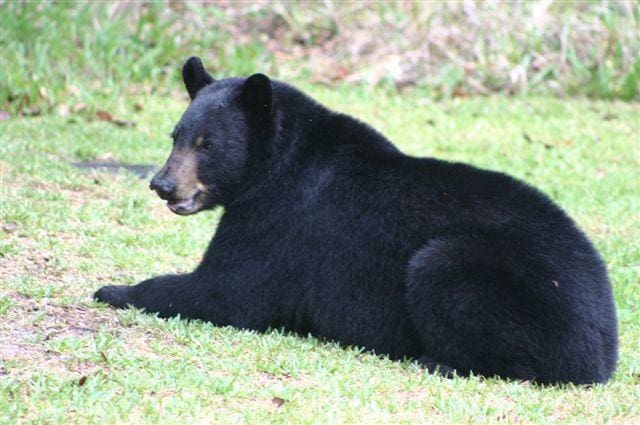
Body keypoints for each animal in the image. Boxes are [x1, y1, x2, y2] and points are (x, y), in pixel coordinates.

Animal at [95, 56, 618, 385]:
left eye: (207, 144)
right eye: (176, 135)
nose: (162, 184)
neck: (278, 163)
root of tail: (607, 348)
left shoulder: (282, 219)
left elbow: (228, 291)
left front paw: (113, 290)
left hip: (503, 285)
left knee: (447, 273)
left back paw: (438, 361)